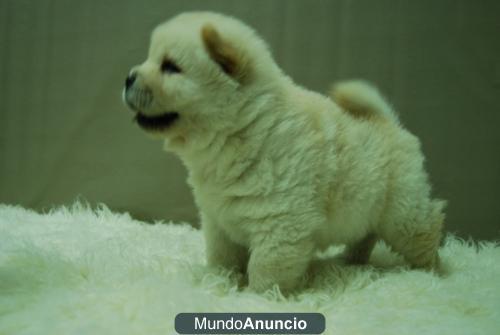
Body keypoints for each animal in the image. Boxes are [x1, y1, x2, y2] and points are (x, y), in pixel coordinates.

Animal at [124, 11, 446, 294]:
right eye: (151, 58)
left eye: (170, 67)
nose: (128, 77)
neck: (241, 131)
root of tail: (392, 123)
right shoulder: (218, 219)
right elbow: (222, 257)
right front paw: (218, 282)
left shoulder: (280, 222)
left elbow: (266, 269)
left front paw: (258, 298)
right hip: (369, 207)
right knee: (365, 235)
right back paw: (350, 261)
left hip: (404, 212)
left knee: (427, 229)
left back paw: (433, 272)